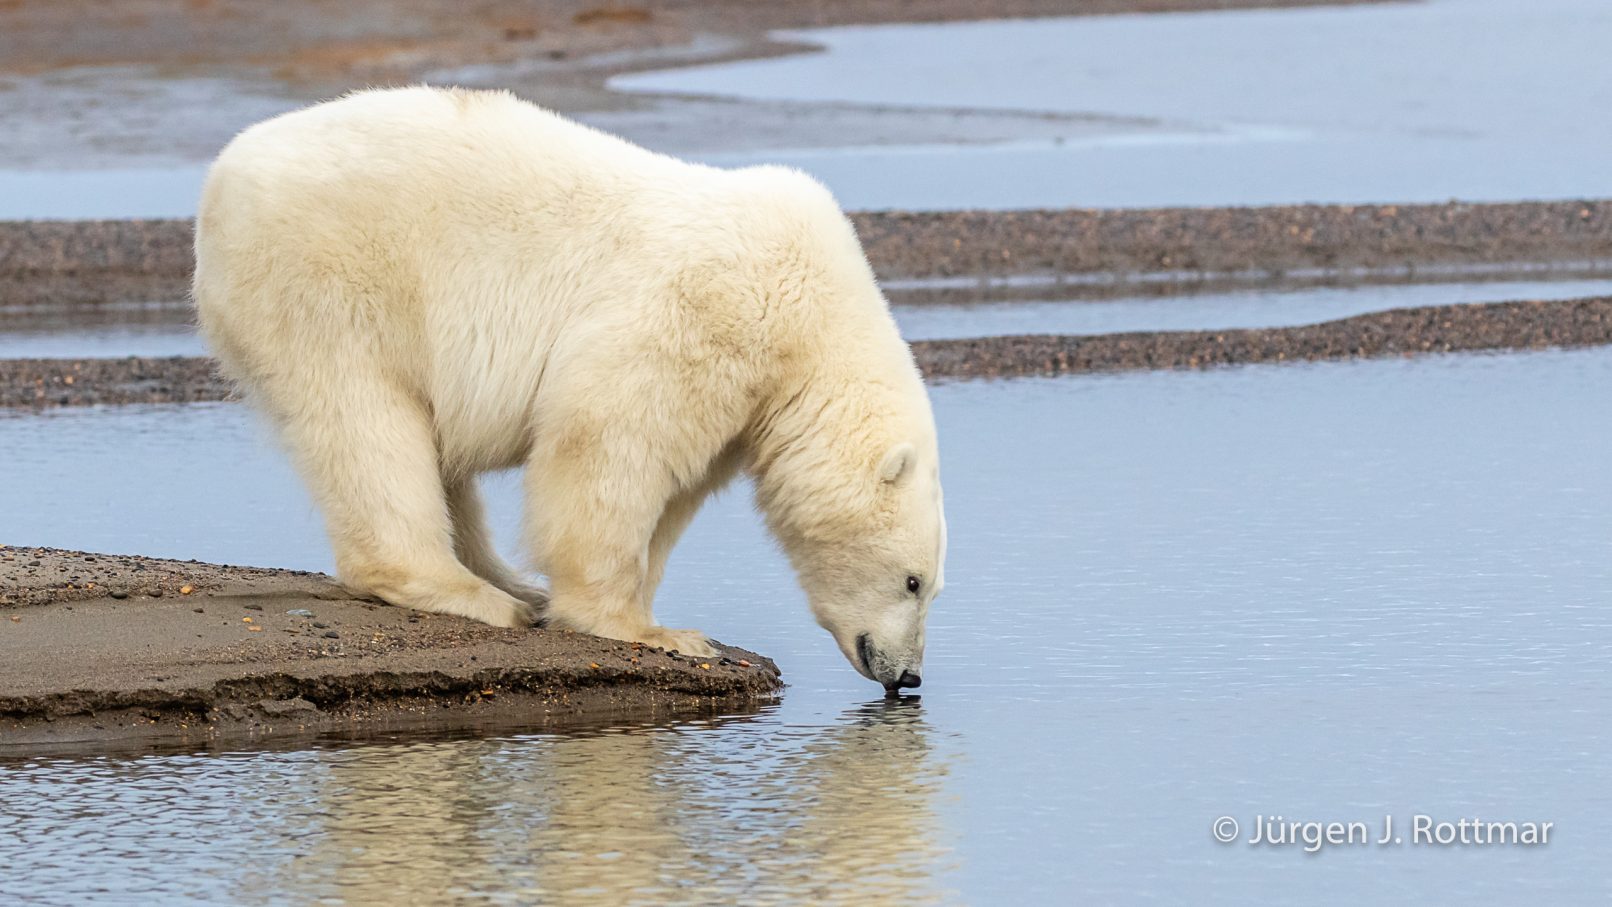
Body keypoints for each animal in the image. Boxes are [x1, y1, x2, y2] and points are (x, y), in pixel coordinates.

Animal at [193, 87, 945, 690]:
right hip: (333, 282)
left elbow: (673, 490)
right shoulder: (701, 317)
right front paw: (652, 631)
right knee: (368, 420)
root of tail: (221, 180)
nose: (908, 676)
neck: (810, 315)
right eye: (913, 581)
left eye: (932, 586)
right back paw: (477, 594)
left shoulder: (738, 403)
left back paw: (508, 579)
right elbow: (610, 444)